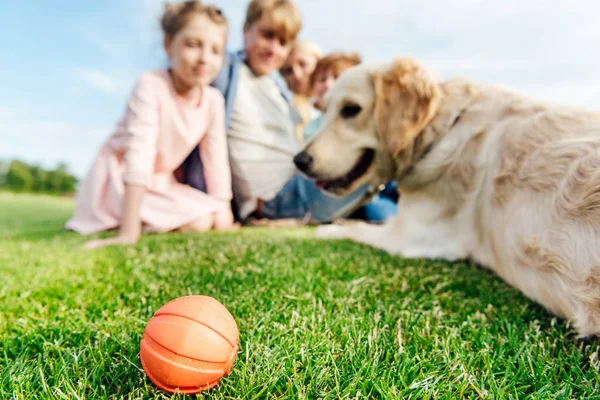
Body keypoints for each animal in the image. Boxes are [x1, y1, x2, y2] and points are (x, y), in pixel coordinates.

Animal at [292, 57, 600, 340]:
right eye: (323, 110)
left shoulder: (410, 237)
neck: (438, 131)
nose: (299, 160)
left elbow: (358, 228)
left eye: (351, 110)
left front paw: (328, 229)